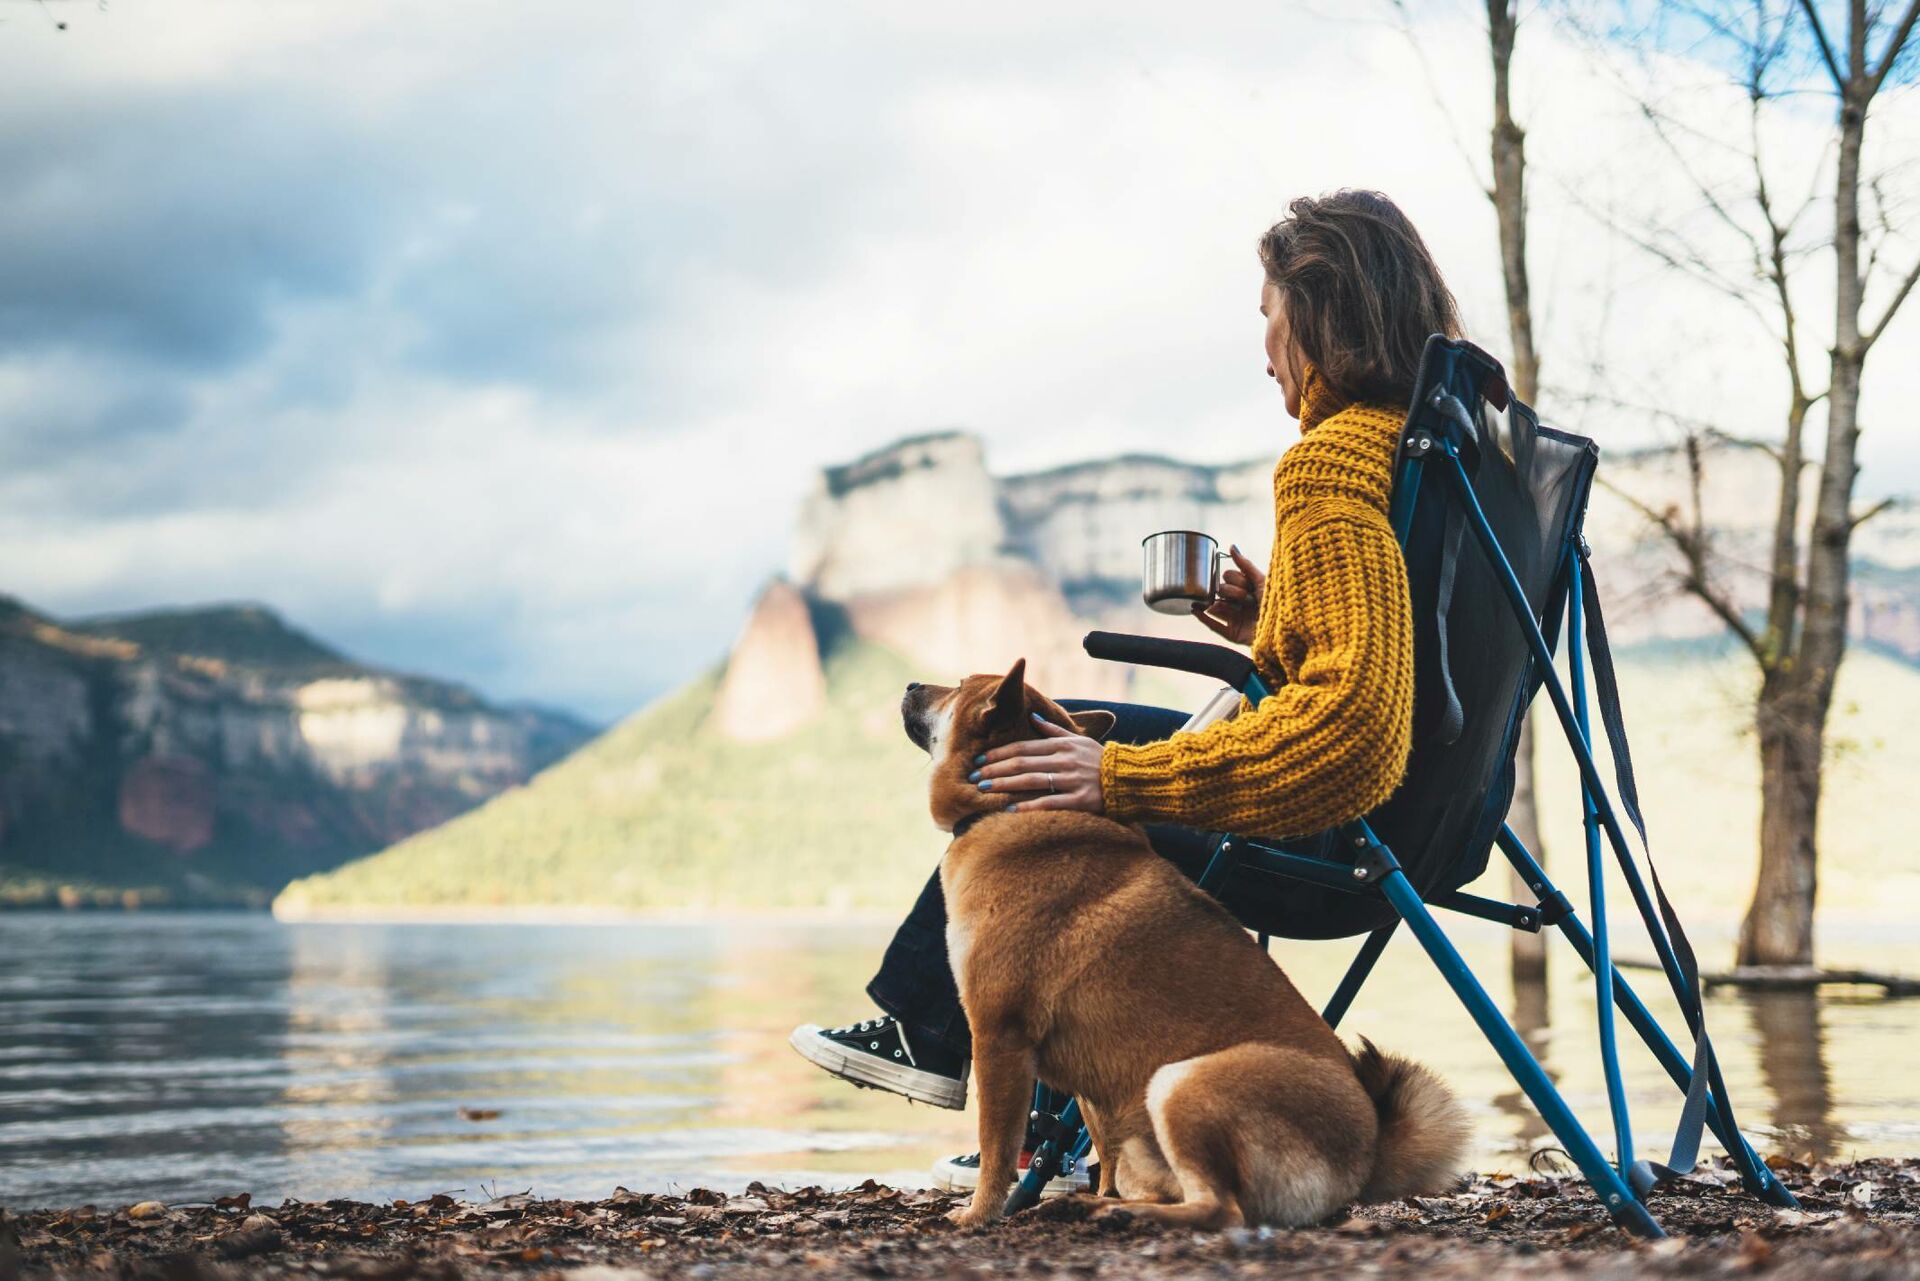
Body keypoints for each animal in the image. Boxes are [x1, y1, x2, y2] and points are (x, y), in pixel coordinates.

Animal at [898, 660, 1466, 1229]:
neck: (1016, 807)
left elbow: (996, 1148)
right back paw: (1101, 1205)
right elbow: (1094, 1146)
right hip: (1148, 1133)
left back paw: (1118, 1214)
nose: (910, 684)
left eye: (960, 686)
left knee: (1220, 1209)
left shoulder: (999, 1035)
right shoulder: (1087, 1090)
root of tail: (1366, 1158)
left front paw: (976, 1216)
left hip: (1181, 1083)